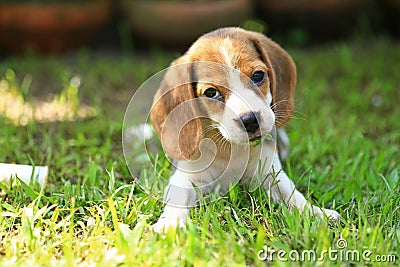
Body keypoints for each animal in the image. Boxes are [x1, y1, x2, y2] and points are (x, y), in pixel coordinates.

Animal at [150, 27, 340, 232]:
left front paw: (316, 213)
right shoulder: (186, 177)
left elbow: (292, 194)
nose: (250, 120)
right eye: (211, 93)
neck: (230, 148)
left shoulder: (269, 173)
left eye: (257, 76)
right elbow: (178, 199)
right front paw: (169, 224)